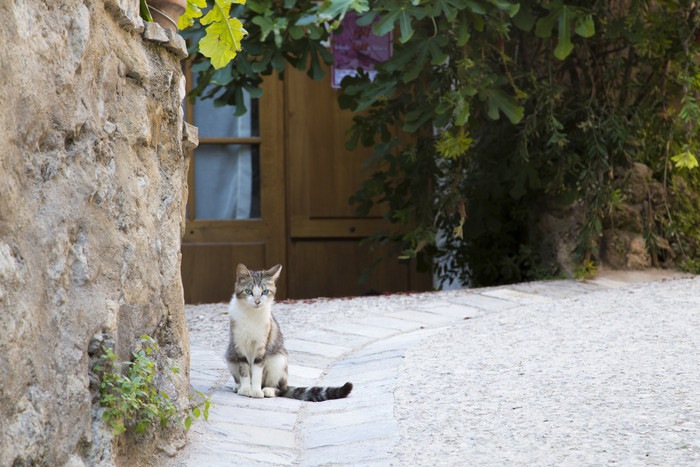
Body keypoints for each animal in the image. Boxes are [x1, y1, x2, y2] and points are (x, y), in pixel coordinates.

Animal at [227, 264, 352, 402]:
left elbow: (257, 370)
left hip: (278, 361)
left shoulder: (261, 345)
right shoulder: (239, 344)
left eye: (265, 292)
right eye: (249, 291)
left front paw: (256, 391)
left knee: (280, 389)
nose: (257, 301)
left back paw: (268, 390)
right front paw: (245, 389)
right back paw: (238, 386)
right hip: (230, 357)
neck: (251, 314)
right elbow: (243, 368)